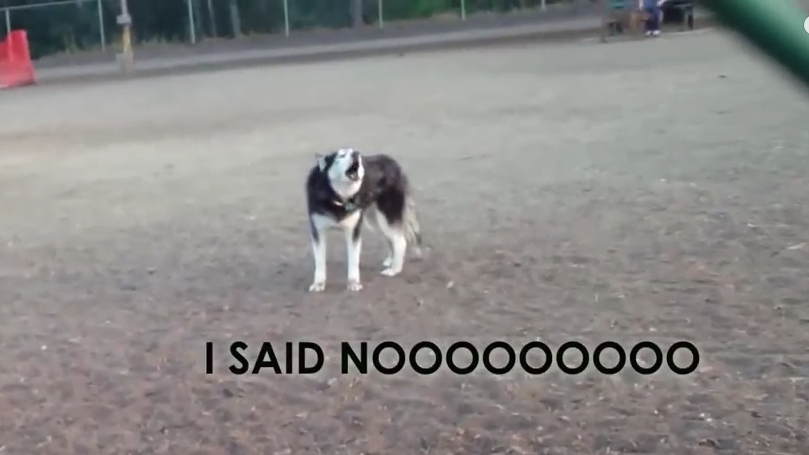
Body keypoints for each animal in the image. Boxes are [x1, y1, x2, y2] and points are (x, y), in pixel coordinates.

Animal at [304, 148, 422, 294]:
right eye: (341, 155)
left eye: (353, 152)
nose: (356, 153)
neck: (338, 197)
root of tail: (392, 162)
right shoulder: (318, 232)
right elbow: (320, 262)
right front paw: (319, 283)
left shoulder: (353, 231)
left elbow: (353, 261)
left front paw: (353, 283)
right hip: (375, 221)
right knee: (392, 239)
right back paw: (390, 260)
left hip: (385, 218)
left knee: (400, 241)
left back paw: (394, 270)